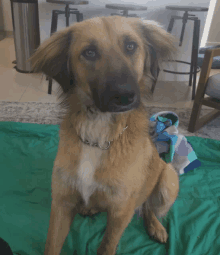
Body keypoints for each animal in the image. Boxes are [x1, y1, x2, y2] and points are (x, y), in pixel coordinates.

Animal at [30, 15, 179, 255]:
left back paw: (156, 226)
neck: (98, 134)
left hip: (169, 179)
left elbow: (108, 245)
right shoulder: (62, 203)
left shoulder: (120, 213)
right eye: (89, 52)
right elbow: (51, 244)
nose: (125, 96)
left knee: (148, 206)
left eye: (131, 46)